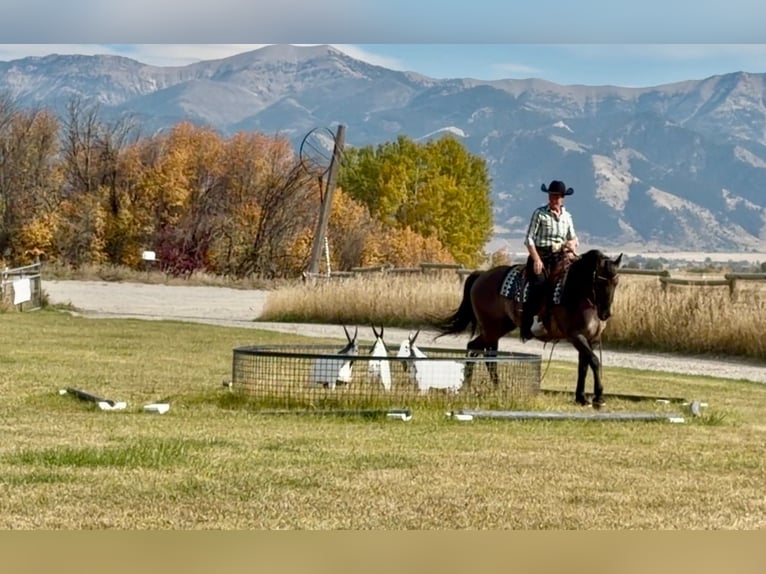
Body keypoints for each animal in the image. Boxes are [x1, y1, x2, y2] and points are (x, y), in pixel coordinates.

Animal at [433, 249, 622, 407]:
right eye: (599, 282)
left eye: (616, 282)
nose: (606, 313)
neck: (575, 294)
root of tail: (482, 275)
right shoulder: (576, 336)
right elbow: (595, 362)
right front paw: (599, 397)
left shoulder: (590, 339)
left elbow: (584, 366)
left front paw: (581, 397)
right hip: (491, 328)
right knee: (482, 353)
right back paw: (476, 386)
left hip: (497, 328)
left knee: (480, 351)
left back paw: (487, 386)